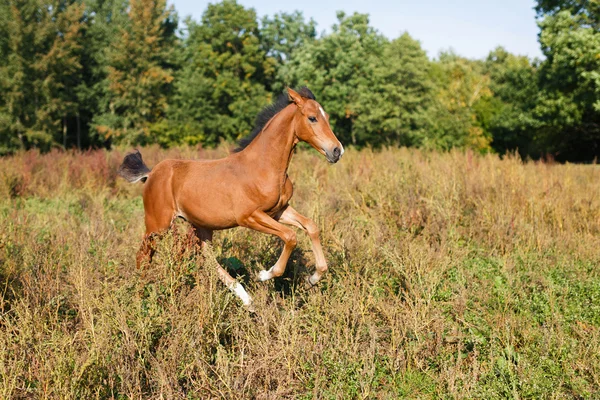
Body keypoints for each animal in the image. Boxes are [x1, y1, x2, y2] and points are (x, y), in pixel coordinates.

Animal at [118, 87, 342, 310]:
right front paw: (263, 274)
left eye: (327, 117)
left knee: (207, 258)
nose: (337, 150)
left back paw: (246, 299)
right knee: (143, 255)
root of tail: (151, 173)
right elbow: (290, 236)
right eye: (312, 118)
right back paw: (139, 299)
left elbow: (311, 226)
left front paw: (313, 278)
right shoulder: (249, 217)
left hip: (201, 226)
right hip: (158, 225)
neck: (264, 167)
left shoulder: (279, 211)